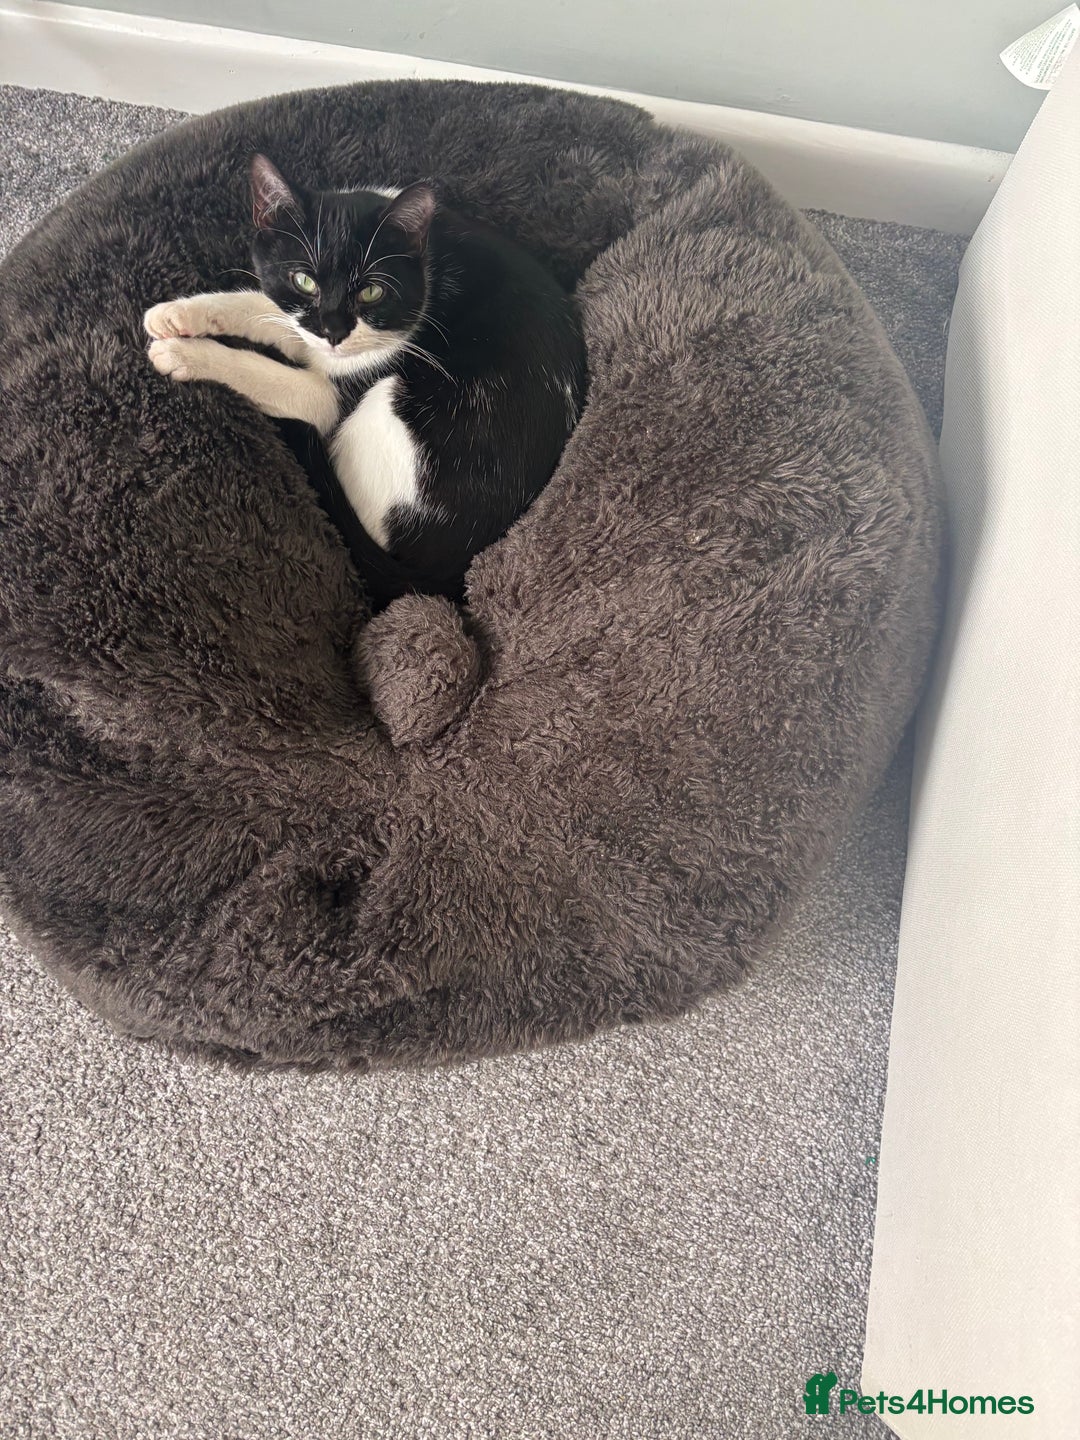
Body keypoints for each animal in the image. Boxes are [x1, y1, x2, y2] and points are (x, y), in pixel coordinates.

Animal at [144, 154, 586, 603]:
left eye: (372, 292)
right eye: (303, 281)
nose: (333, 331)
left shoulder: (338, 390)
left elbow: (265, 373)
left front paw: (183, 354)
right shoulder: (302, 325)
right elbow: (261, 308)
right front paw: (175, 315)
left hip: (391, 411)